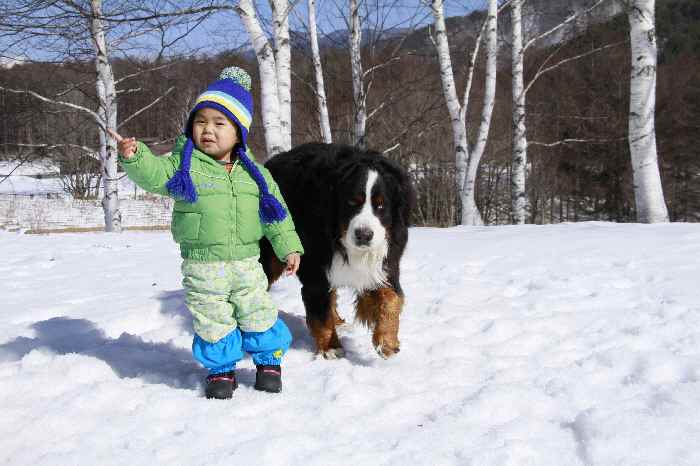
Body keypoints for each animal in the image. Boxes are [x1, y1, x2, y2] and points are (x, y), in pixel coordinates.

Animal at [262, 144, 416, 358]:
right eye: (352, 202)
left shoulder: (386, 263)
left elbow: (391, 297)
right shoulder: (316, 271)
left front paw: (387, 341)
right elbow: (320, 311)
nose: (364, 234)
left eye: (381, 205)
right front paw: (332, 348)